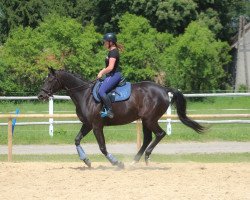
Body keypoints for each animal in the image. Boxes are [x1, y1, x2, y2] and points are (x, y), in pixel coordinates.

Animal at [37, 68, 205, 168]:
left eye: (50, 80)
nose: (40, 95)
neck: (85, 94)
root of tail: (163, 89)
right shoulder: (87, 125)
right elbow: (77, 140)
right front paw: (86, 160)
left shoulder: (96, 126)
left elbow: (102, 147)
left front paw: (116, 162)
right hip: (145, 120)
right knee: (147, 138)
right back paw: (135, 160)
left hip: (150, 119)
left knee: (159, 134)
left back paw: (145, 157)